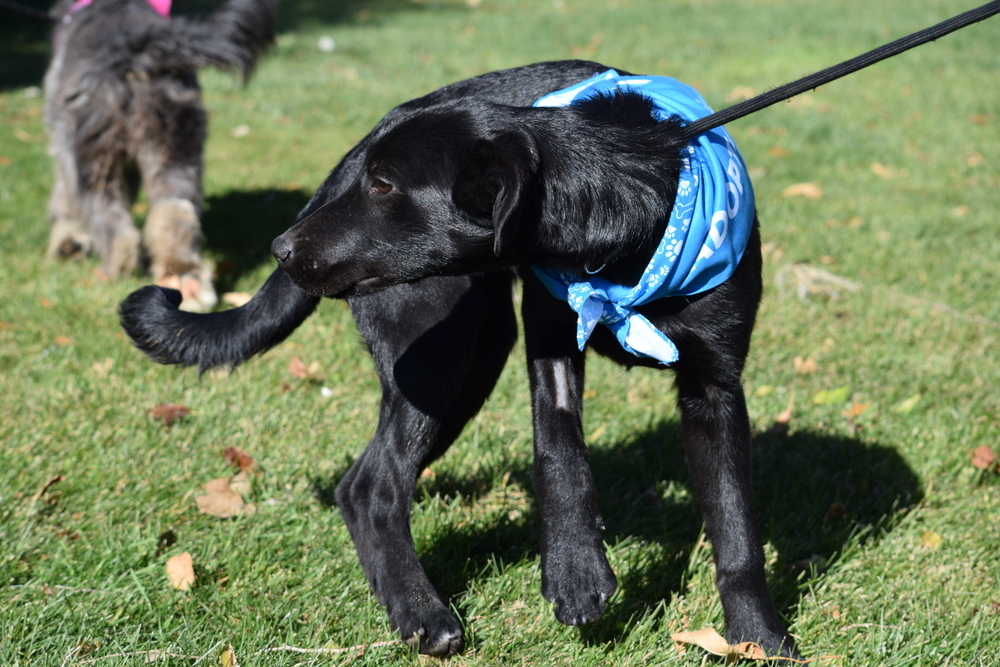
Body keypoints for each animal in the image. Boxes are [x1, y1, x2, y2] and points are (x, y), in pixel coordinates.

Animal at [45, 0, 276, 310]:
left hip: (91, 151)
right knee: (174, 211)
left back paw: (116, 265)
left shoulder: (63, 145)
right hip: (177, 146)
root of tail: (134, 50)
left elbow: (63, 197)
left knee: (108, 215)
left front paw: (66, 241)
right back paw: (185, 282)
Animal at [121, 61, 796, 656]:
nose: (280, 249)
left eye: (384, 184)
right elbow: (559, 451)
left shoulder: (714, 385)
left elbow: (736, 526)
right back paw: (422, 614)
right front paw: (575, 571)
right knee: (372, 486)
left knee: (361, 483)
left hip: (467, 361)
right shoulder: (549, 343)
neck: (623, 237)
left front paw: (756, 637)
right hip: (442, 355)